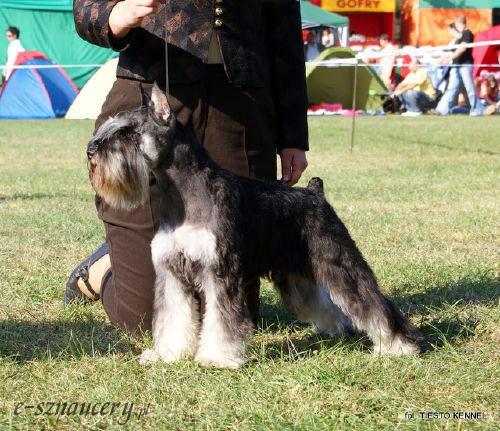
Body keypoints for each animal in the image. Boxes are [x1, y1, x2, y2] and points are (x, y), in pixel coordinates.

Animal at [87, 84, 422, 368]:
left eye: (129, 132)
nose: (91, 151)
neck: (183, 195)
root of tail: (315, 193)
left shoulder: (220, 272)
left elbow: (221, 322)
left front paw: (217, 358)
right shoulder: (171, 274)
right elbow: (174, 319)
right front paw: (167, 353)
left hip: (338, 263)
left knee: (373, 302)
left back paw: (399, 346)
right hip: (296, 274)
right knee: (322, 302)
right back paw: (336, 329)